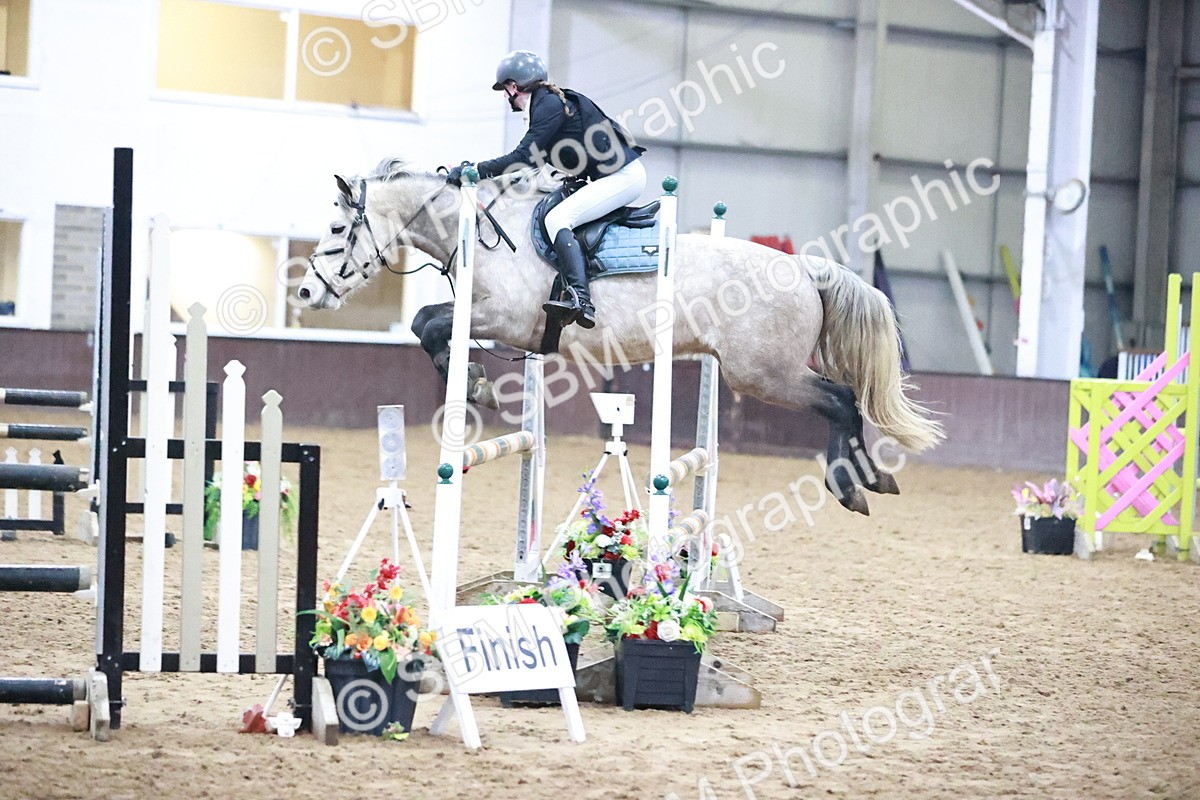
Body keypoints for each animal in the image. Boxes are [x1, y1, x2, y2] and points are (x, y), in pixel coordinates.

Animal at [297, 159, 944, 515]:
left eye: (336, 228)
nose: (305, 294)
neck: (480, 228)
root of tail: (806, 268)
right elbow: (423, 322)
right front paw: (476, 380)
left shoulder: (506, 318)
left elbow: (430, 323)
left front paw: (475, 384)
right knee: (844, 402)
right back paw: (873, 478)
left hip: (764, 374)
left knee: (841, 399)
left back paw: (853, 484)